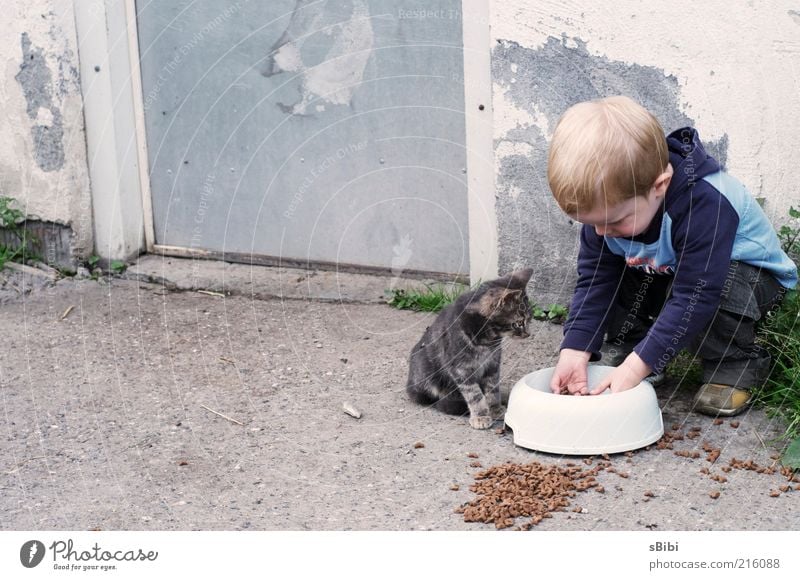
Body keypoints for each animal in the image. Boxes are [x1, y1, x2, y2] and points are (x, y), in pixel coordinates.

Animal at [410, 270, 536, 428]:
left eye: (530, 320)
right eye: (519, 323)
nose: (528, 334)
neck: (488, 340)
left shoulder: (493, 364)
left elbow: (492, 390)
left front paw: (495, 409)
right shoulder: (461, 369)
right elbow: (475, 395)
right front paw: (481, 416)